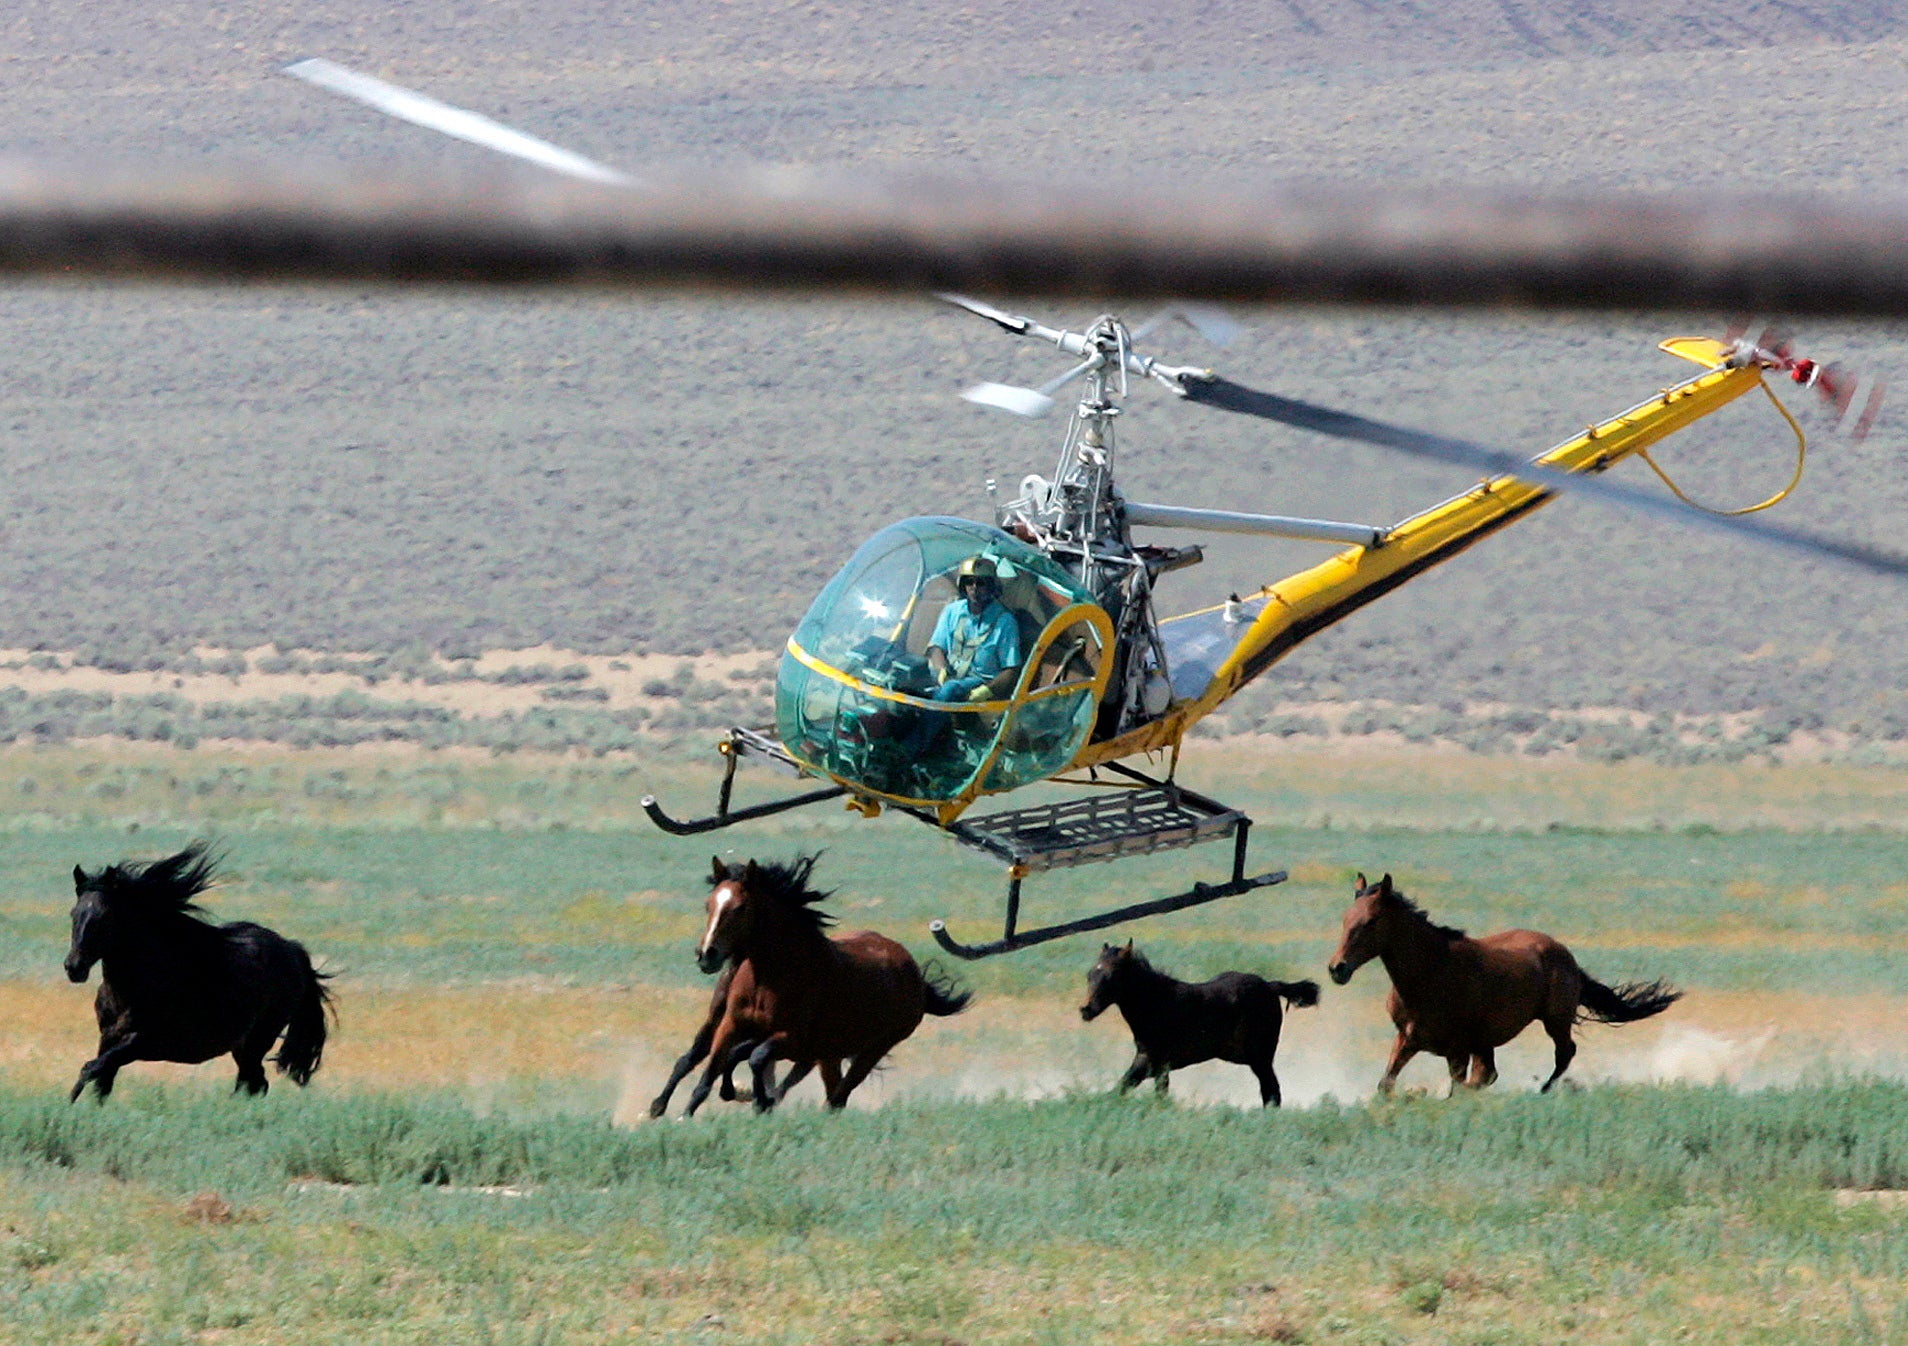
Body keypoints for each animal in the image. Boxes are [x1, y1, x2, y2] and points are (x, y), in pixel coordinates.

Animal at [65, 840, 335, 1099]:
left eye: (105, 917)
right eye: (74, 913)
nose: (73, 967)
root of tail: (292, 949)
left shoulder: (140, 1042)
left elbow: (89, 1070)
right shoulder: (108, 1038)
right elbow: (101, 1084)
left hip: (258, 1040)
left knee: (253, 1083)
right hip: (242, 1046)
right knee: (253, 1084)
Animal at [675, 851, 969, 1114]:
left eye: (740, 908)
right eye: (708, 905)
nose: (706, 954)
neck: (768, 978)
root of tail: (914, 973)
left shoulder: (793, 1039)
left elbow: (755, 1058)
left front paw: (757, 1099)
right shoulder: (731, 1025)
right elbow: (713, 1069)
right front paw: (687, 1113)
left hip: (873, 1049)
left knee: (838, 1098)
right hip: (830, 1054)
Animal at [1083, 939, 1320, 1107]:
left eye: (1111, 975)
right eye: (1090, 973)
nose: (1085, 1010)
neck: (1158, 1003)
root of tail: (1270, 986)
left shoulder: (1153, 1061)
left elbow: (1128, 1088)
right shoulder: (1154, 1065)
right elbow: (1133, 1090)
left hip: (1260, 1056)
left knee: (1271, 1091)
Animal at [1327, 870, 1686, 1092]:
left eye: (1371, 921)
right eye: (1345, 919)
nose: (1337, 968)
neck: (1430, 973)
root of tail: (1564, 954)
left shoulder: (1457, 1049)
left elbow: (1459, 1088)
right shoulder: (1408, 1039)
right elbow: (1385, 1085)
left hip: (1554, 1020)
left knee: (1564, 1053)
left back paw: (1542, 1090)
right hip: (1487, 1041)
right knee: (1491, 1073)